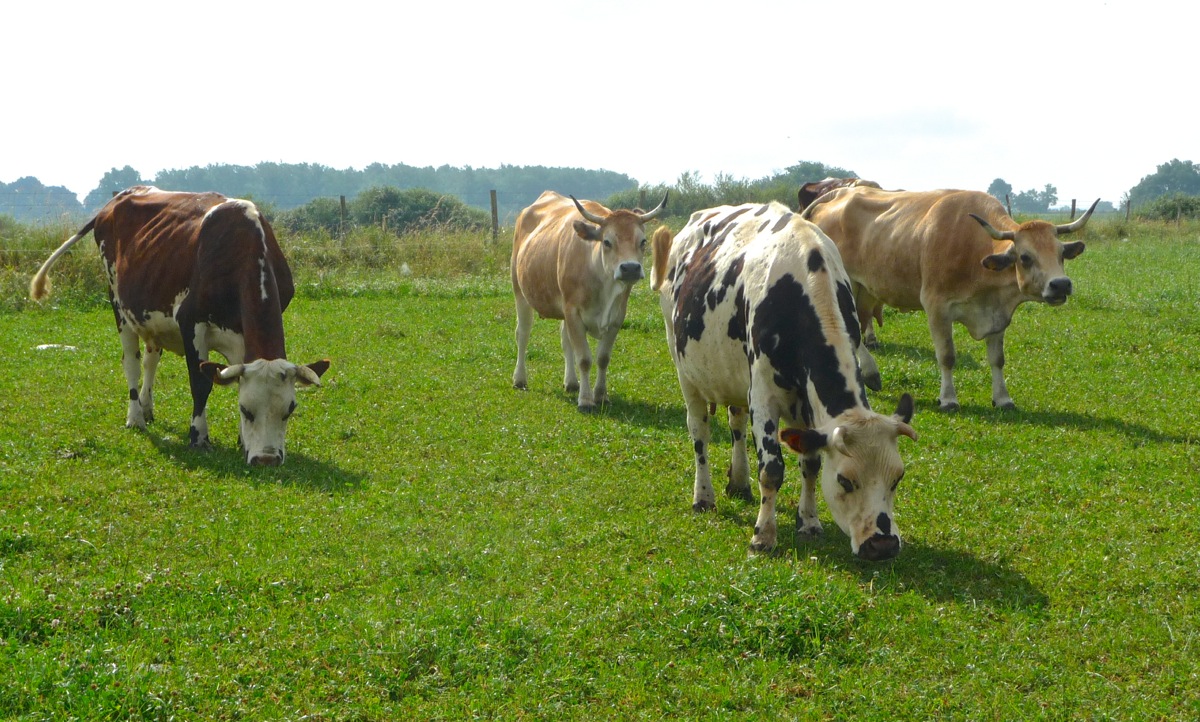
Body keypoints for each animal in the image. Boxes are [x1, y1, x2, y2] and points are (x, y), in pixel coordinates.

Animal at [29, 184, 328, 467]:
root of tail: (120, 197)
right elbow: (201, 383)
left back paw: (147, 408)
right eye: (246, 410)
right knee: (132, 363)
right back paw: (135, 417)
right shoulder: (191, 323)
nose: (267, 460)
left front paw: (242, 441)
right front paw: (198, 437)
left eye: (290, 409)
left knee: (150, 360)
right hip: (118, 304)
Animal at [511, 188, 672, 410]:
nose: (630, 268)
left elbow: (602, 358)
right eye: (607, 241)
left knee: (565, 340)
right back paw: (520, 379)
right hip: (520, 291)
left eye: (643, 241)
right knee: (523, 334)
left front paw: (601, 395)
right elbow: (584, 359)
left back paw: (571, 382)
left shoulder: (616, 317)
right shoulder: (573, 312)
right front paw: (586, 400)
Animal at [648, 199, 916, 558]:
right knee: (699, 432)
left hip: (735, 374)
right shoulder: (764, 394)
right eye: (845, 480)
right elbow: (772, 469)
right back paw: (704, 496)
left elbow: (811, 464)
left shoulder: (805, 404)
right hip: (685, 370)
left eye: (897, 478)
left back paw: (739, 481)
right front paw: (763, 535)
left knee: (735, 423)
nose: (883, 545)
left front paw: (809, 522)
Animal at [806, 185, 1099, 407]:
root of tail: (840, 193)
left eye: (1061, 253)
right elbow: (947, 356)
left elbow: (997, 359)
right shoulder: (936, 307)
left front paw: (1002, 398)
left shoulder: (997, 314)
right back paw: (868, 372)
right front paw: (948, 399)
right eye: (1025, 257)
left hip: (865, 289)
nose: (1060, 285)